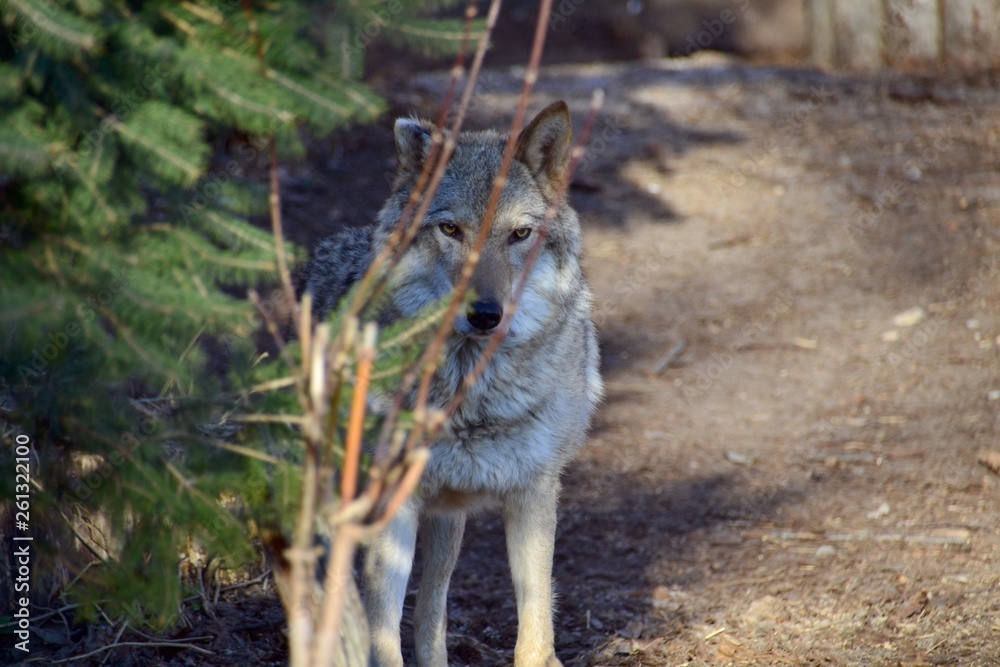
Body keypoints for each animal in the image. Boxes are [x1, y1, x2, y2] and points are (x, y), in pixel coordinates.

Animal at [298, 100, 600, 667]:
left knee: (431, 611)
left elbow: (536, 629)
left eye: (519, 235)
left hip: (446, 524)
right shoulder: (392, 510)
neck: (471, 396)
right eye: (451, 230)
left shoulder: (534, 495)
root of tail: (329, 246)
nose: (485, 315)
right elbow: (383, 639)